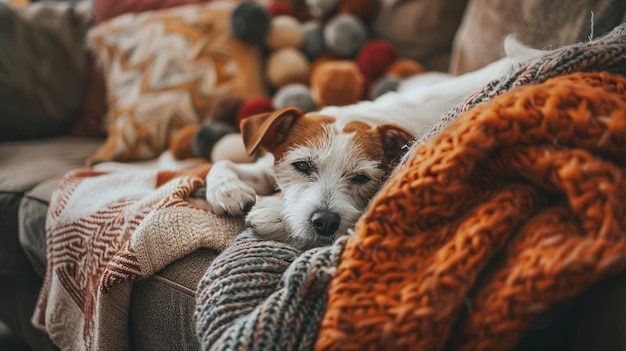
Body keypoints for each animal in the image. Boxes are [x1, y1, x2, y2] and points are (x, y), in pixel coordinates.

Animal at [202, 107, 412, 250]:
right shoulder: (265, 171)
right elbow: (222, 163)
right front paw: (228, 191)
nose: (326, 222)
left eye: (361, 177)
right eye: (302, 165)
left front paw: (273, 214)